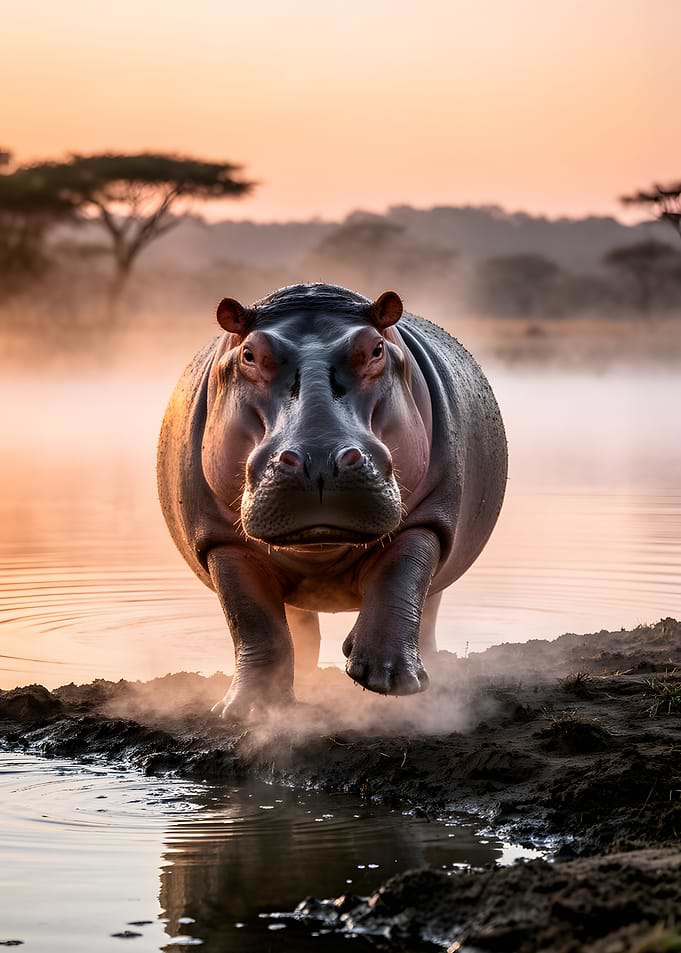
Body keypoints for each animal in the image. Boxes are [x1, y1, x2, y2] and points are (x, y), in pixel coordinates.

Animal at [157, 283, 507, 719]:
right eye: (249, 354)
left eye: (376, 349)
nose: (319, 457)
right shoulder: (220, 540)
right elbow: (252, 620)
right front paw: (252, 709)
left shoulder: (428, 519)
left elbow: (400, 578)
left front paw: (390, 680)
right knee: (297, 624)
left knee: (426, 604)